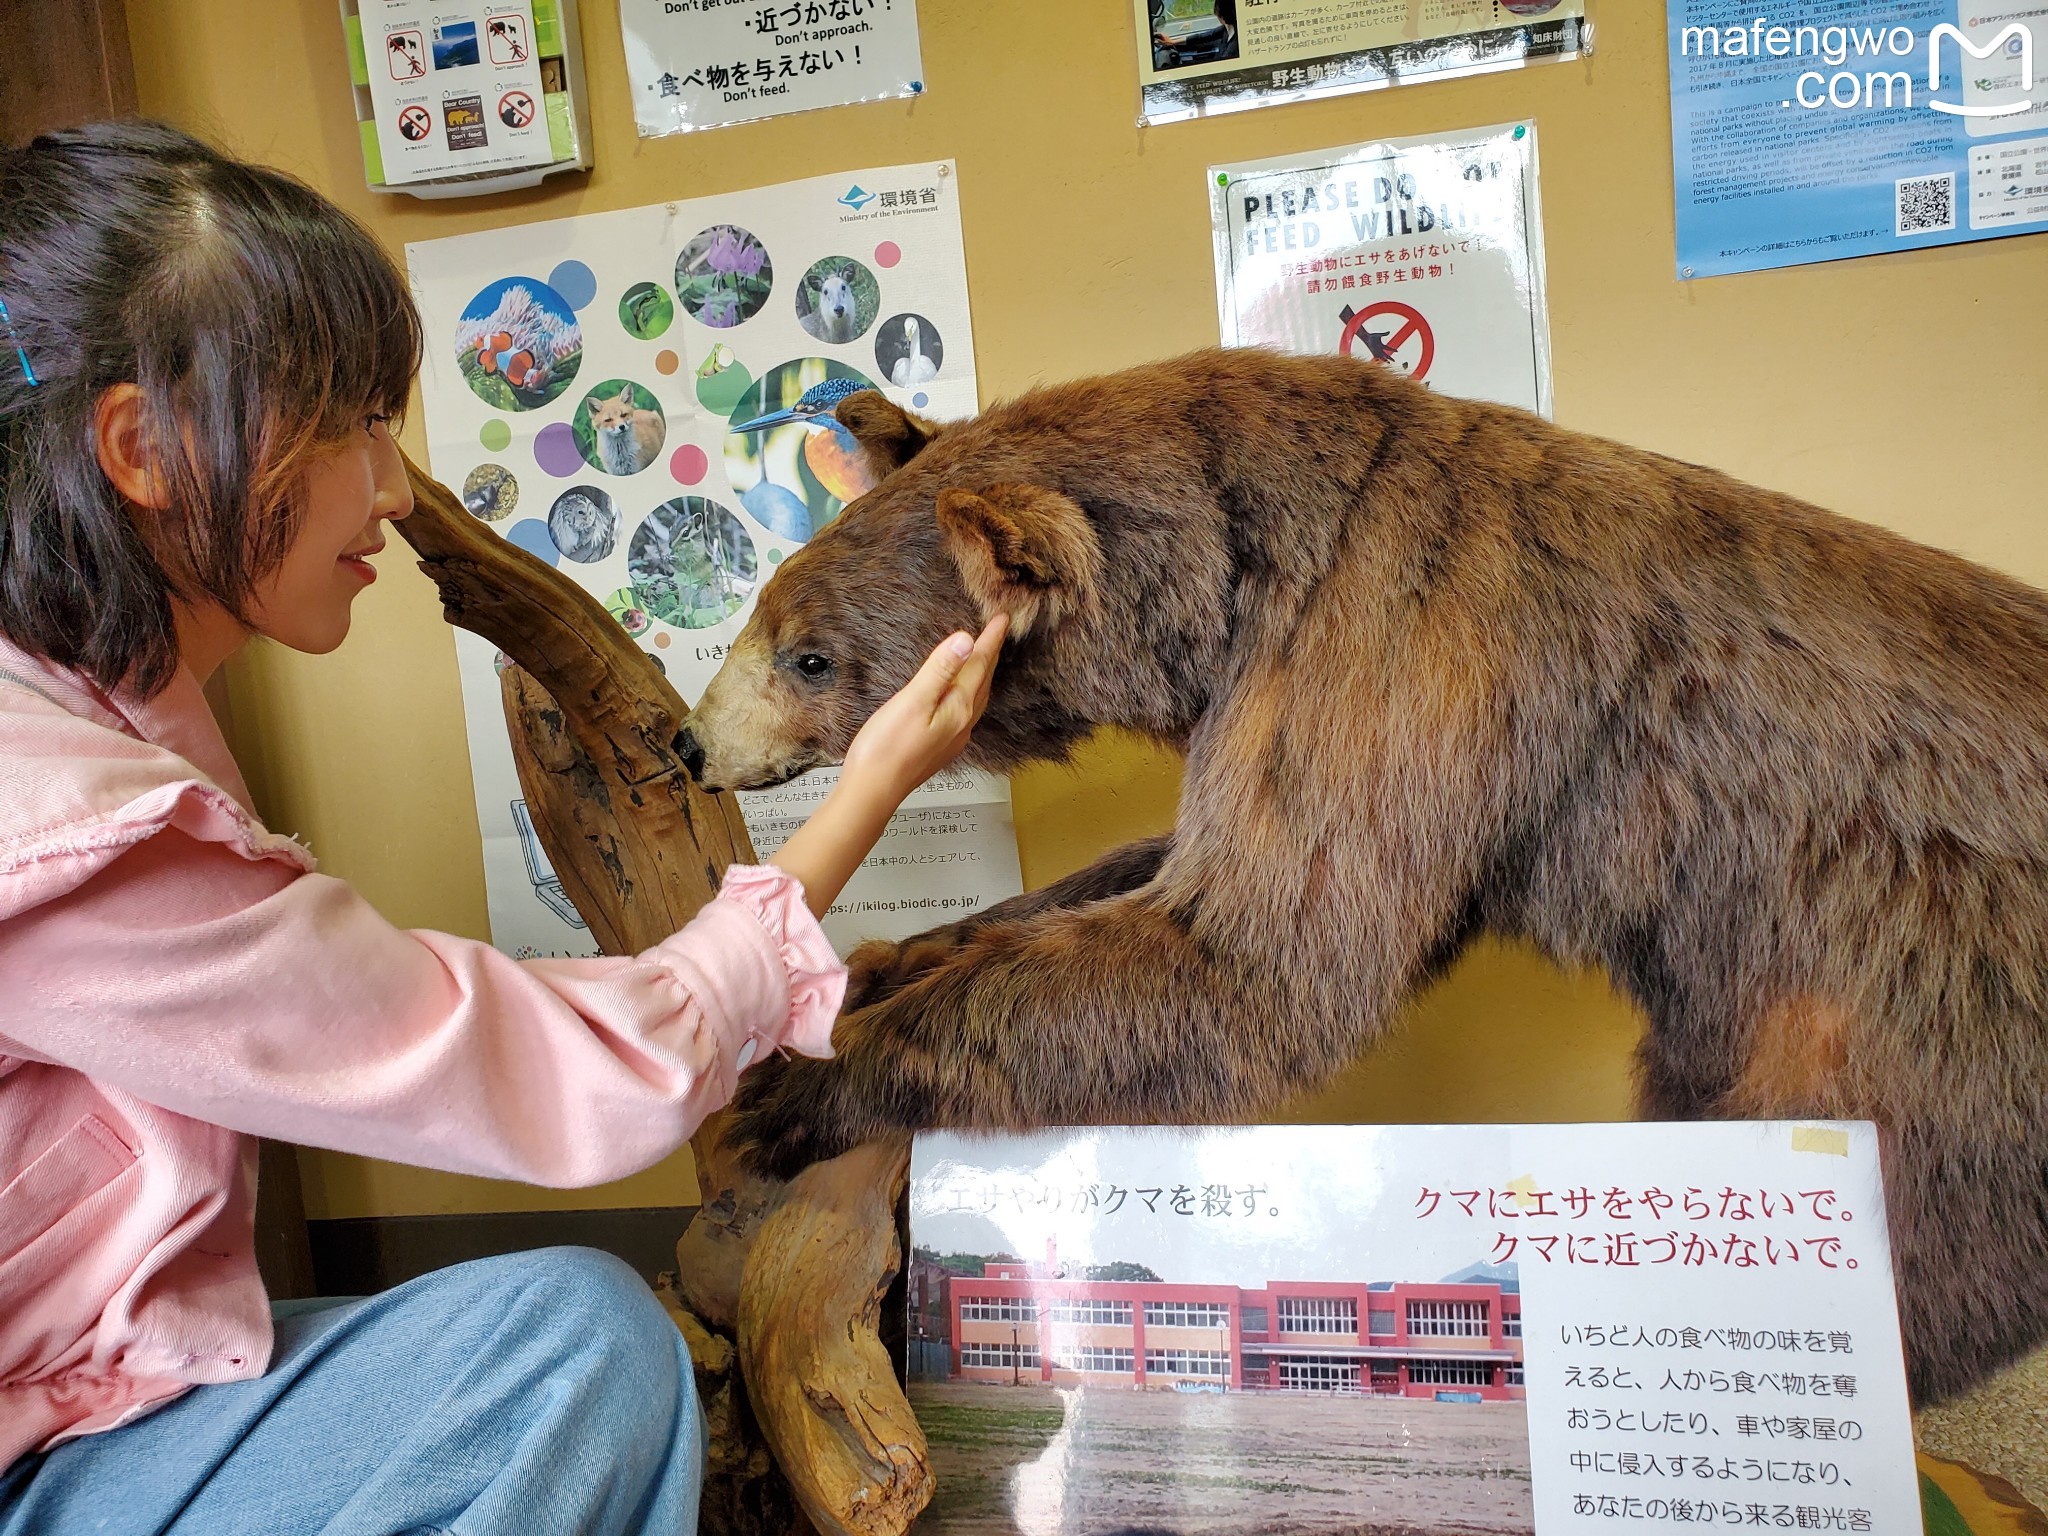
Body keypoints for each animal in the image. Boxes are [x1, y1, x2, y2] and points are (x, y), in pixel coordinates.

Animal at [684, 348, 2048, 1409]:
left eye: (808, 656)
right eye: (770, 612)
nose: (694, 745)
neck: (1231, 579)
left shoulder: (1396, 644)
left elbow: (1263, 951)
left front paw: (791, 1087)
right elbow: (1161, 880)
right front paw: (894, 957)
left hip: (1897, 989)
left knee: (1908, 1227)